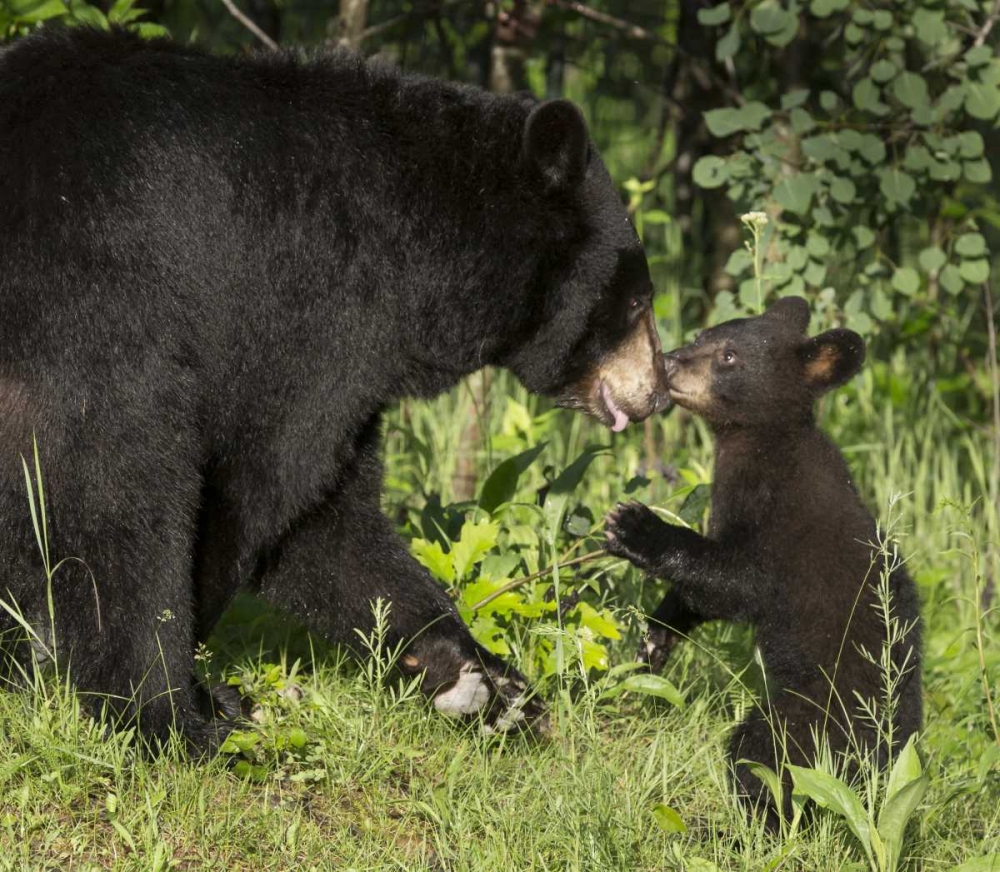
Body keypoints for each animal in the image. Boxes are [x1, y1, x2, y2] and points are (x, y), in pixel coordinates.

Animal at [1, 30, 672, 752]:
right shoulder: (311, 311)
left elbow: (333, 525)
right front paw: (199, 685)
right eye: (637, 301)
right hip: (93, 322)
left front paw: (487, 683)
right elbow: (266, 481)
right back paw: (169, 719)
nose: (659, 392)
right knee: (126, 505)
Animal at [600, 300, 920, 832]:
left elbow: (739, 581)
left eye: (729, 356)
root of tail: (878, 769)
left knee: (767, 761)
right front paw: (657, 636)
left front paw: (634, 527)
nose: (668, 361)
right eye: (702, 334)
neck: (766, 443)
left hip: (811, 715)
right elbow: (704, 594)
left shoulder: (779, 521)